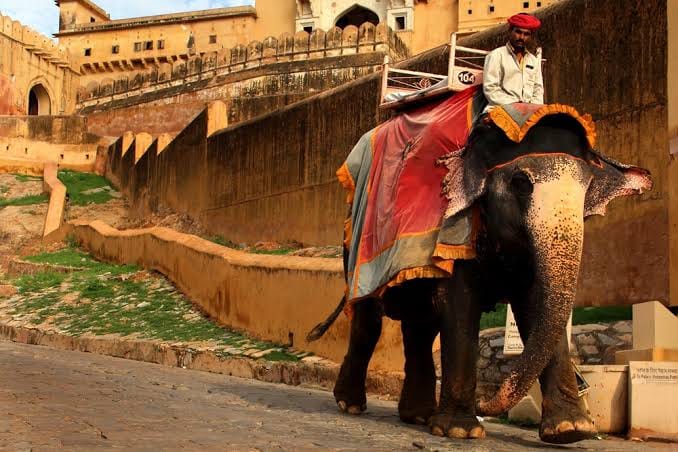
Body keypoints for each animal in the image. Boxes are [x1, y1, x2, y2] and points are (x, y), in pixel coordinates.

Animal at [307, 109, 652, 444]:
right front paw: (460, 431)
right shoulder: (456, 228)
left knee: (420, 326)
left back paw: (417, 416)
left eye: (589, 188)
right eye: (520, 183)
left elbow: (534, 308)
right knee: (369, 321)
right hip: (355, 252)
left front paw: (571, 430)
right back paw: (351, 405)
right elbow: (460, 304)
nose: (484, 404)